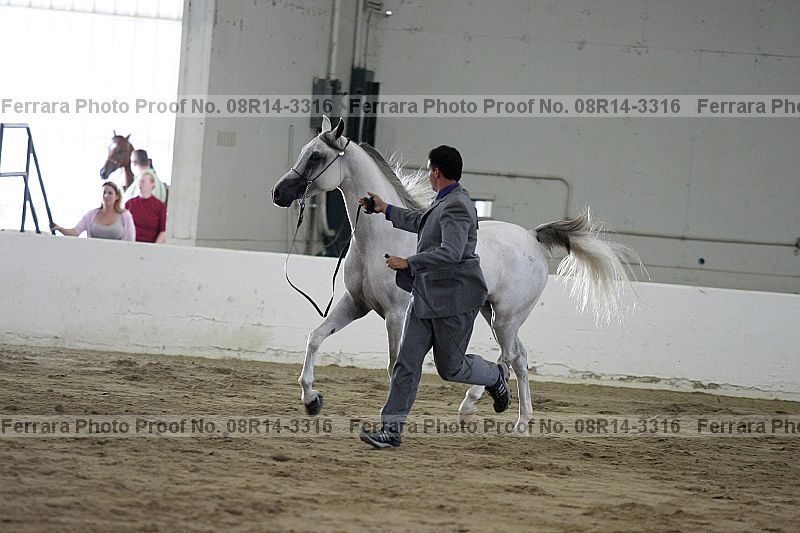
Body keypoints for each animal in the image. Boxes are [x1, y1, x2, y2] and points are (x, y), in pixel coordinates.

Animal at [271, 116, 637, 433]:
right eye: (305, 150)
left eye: (316, 156)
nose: (278, 193)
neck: (380, 240)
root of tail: (532, 237)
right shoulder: (356, 304)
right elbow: (315, 337)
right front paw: (311, 400)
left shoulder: (396, 314)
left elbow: (394, 366)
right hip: (492, 314)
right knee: (519, 357)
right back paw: (518, 421)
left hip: (506, 316)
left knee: (509, 356)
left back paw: (476, 406)